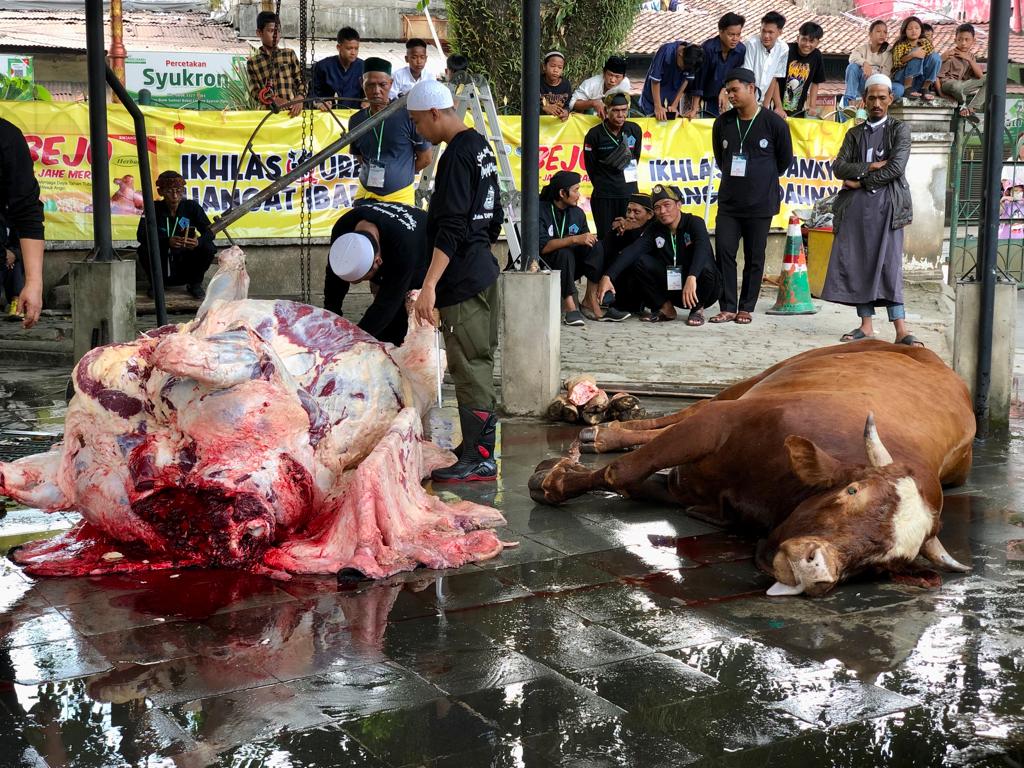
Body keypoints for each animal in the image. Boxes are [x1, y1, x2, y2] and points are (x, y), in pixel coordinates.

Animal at [532, 342, 970, 602]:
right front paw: (550, 479)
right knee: (687, 409)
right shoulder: (717, 423)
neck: (775, 491)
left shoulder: (687, 486)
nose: (816, 569)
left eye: (884, 564)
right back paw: (604, 430)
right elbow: (622, 472)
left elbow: (636, 482)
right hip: (758, 380)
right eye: (853, 491)